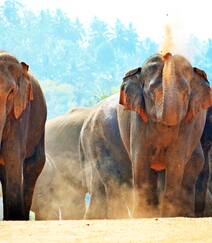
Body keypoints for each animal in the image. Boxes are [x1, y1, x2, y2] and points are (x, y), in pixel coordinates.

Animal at [80, 52, 212, 218]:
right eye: (150, 93)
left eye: (185, 94)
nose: (166, 53)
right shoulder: (138, 119)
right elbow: (140, 160)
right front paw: (145, 214)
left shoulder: (190, 122)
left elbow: (176, 161)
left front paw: (169, 215)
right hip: (100, 141)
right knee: (114, 180)